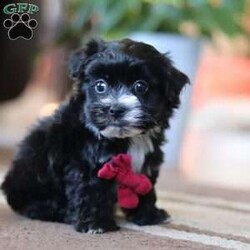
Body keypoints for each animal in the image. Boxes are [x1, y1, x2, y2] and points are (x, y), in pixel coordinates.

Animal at [1, 38, 189, 233]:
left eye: (140, 86)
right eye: (100, 86)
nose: (115, 109)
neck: (127, 138)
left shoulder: (147, 163)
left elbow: (145, 188)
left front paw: (149, 215)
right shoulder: (87, 162)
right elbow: (90, 191)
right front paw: (96, 225)